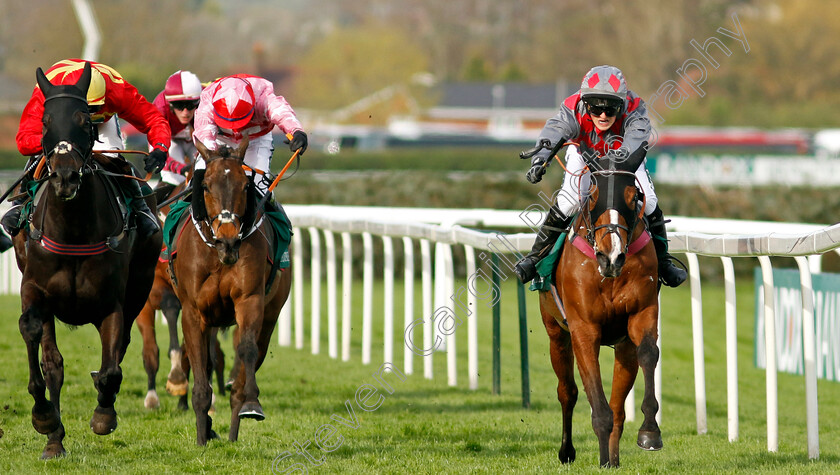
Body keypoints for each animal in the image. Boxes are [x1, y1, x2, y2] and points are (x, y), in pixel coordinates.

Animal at [12, 62, 162, 458]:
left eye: (84, 119)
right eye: (45, 121)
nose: (65, 176)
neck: (73, 229)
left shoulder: (112, 302)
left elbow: (112, 368)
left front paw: (103, 414)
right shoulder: (34, 289)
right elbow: (40, 348)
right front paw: (46, 421)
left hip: (141, 285)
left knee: (120, 349)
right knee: (55, 363)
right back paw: (54, 436)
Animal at [171, 136, 292, 444]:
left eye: (245, 186)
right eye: (205, 185)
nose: (228, 240)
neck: (219, 255)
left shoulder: (250, 301)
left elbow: (246, 349)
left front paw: (251, 403)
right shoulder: (193, 311)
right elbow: (200, 368)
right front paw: (201, 437)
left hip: (270, 315)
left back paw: (234, 431)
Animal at [540, 145, 664, 468]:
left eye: (634, 197)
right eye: (593, 195)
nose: (612, 257)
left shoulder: (642, 314)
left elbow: (649, 353)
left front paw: (649, 432)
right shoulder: (584, 330)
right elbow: (595, 401)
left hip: (623, 346)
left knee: (618, 405)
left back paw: (613, 458)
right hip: (555, 332)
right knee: (567, 392)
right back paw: (567, 451)